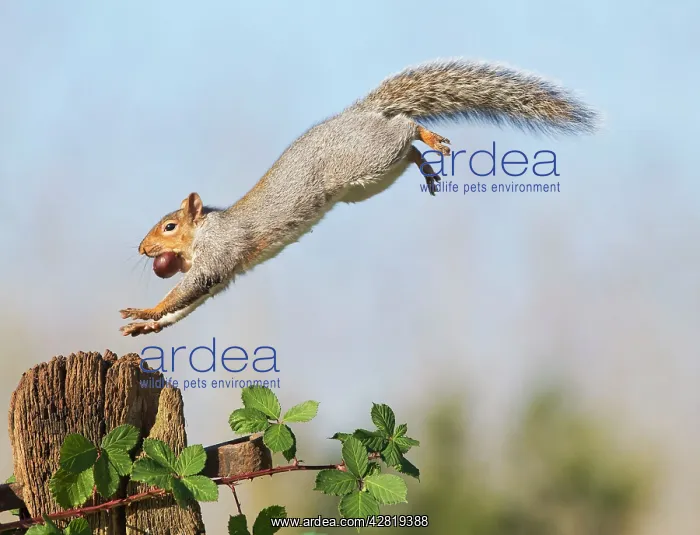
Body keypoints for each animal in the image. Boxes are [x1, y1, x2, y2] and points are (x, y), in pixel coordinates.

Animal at [120, 58, 599, 336]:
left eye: (169, 226)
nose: (142, 249)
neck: (204, 234)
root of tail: (360, 114)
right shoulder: (223, 274)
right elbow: (188, 305)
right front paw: (149, 326)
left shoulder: (218, 256)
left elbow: (188, 290)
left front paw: (145, 310)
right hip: (372, 179)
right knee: (406, 147)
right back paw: (426, 165)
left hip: (369, 160)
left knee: (406, 126)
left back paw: (430, 138)